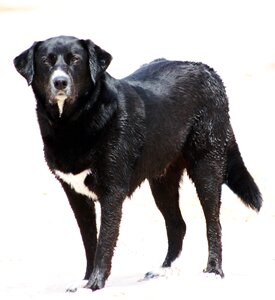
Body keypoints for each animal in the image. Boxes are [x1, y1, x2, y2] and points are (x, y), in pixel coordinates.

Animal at [14, 35, 264, 290]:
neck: (74, 122)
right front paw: (85, 280)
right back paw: (165, 269)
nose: (60, 82)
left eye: (75, 60)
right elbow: (89, 240)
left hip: (207, 166)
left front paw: (94, 284)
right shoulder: (76, 195)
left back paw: (213, 270)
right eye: (46, 61)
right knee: (178, 224)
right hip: (162, 179)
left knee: (213, 223)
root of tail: (208, 70)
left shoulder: (112, 192)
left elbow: (104, 241)